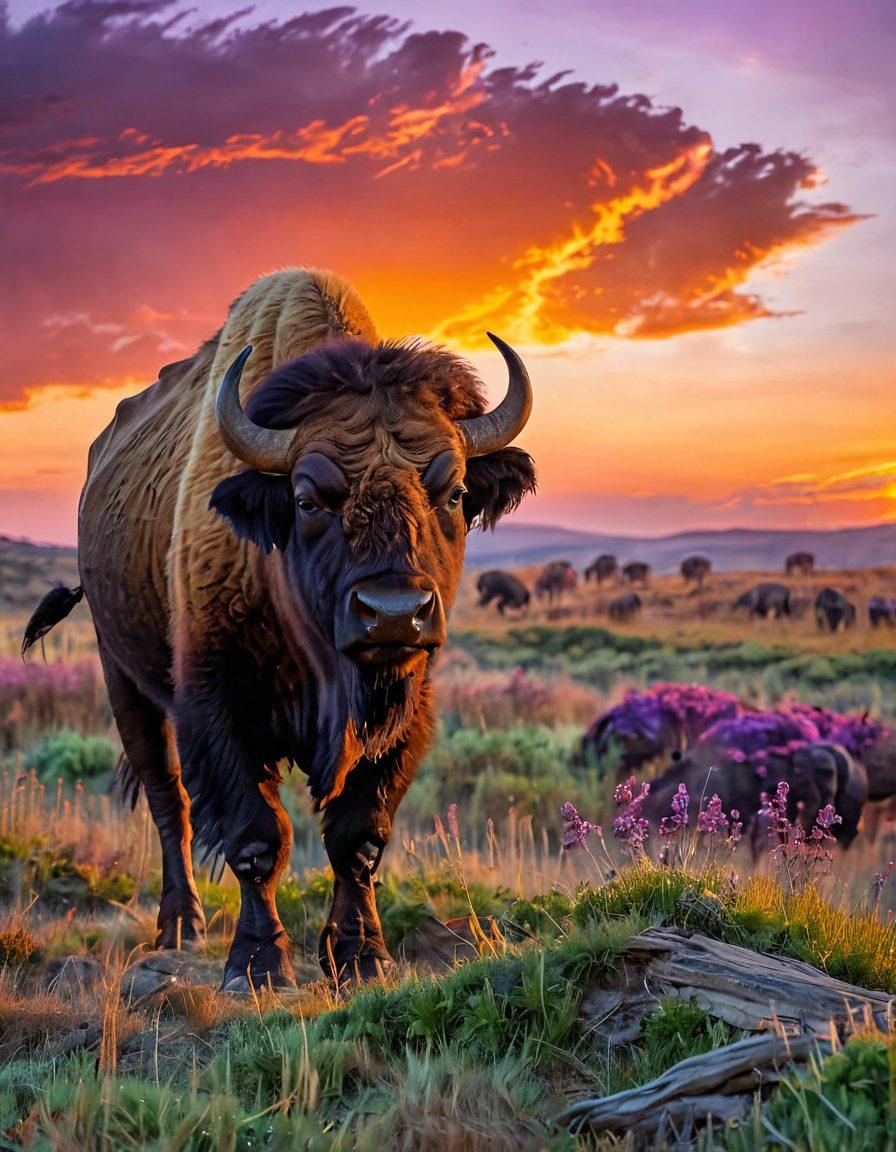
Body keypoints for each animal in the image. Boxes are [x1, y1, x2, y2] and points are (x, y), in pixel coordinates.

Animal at [23, 268, 536, 990]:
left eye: (455, 492)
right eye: (306, 497)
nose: (392, 611)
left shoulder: (402, 713)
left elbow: (358, 836)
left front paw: (362, 956)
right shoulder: (218, 708)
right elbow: (257, 836)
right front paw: (258, 964)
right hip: (122, 676)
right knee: (168, 800)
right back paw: (180, 924)